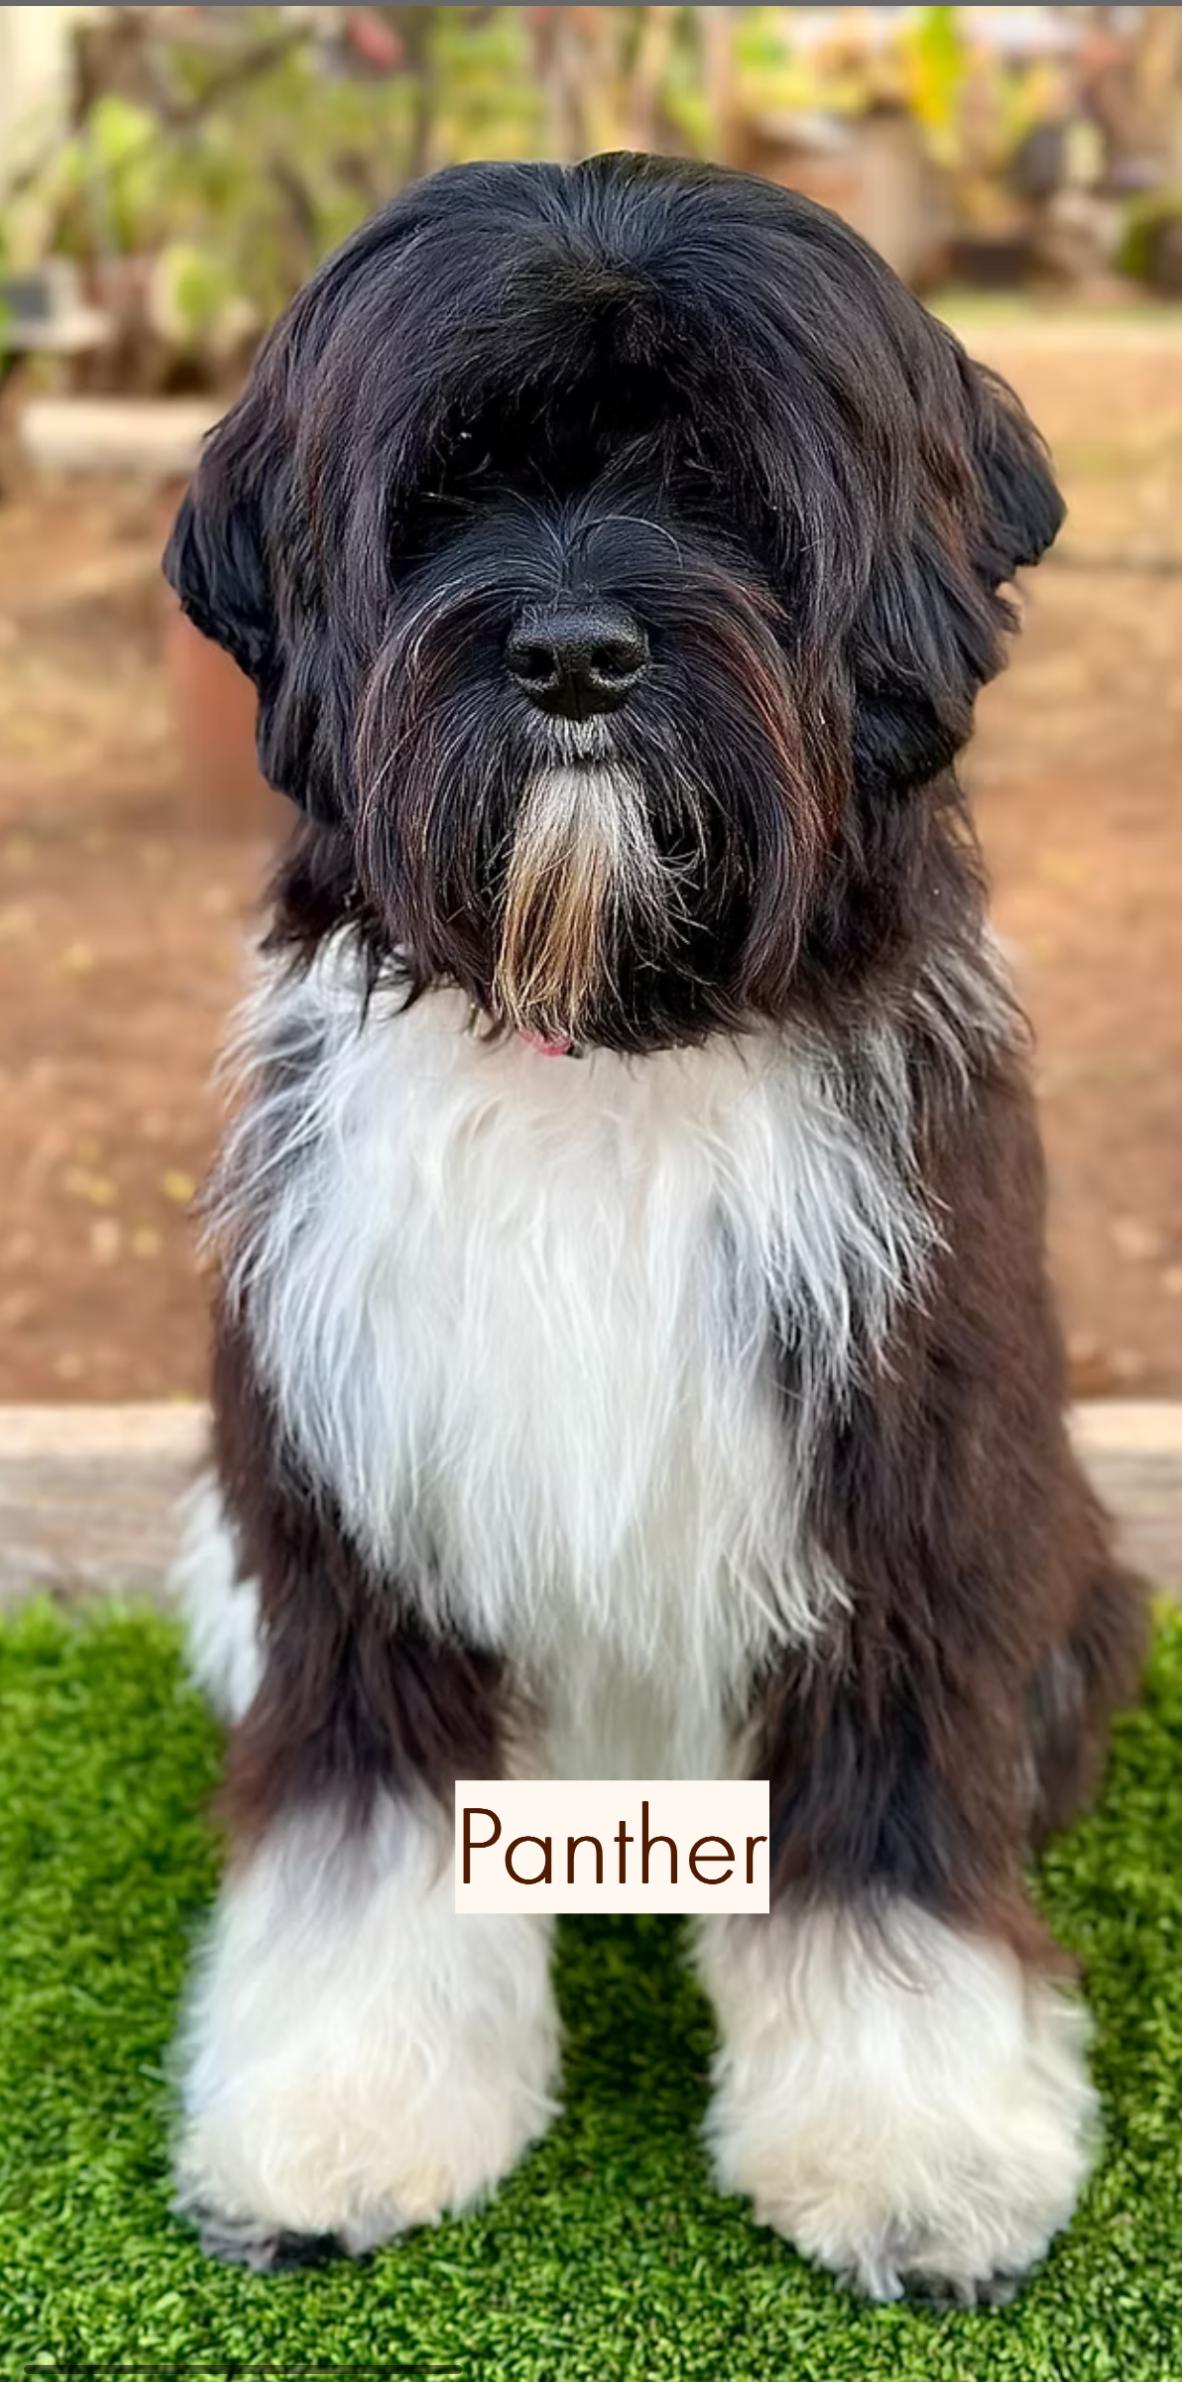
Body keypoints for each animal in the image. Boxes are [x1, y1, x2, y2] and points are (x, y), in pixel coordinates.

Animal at [165, 152, 1146, 2301]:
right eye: (445, 486)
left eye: (726, 485)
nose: (574, 657)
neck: (611, 1029)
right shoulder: (358, 1514)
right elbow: (364, 1844)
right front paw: (341, 2118)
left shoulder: (899, 1501)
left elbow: (885, 1845)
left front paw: (913, 2149)